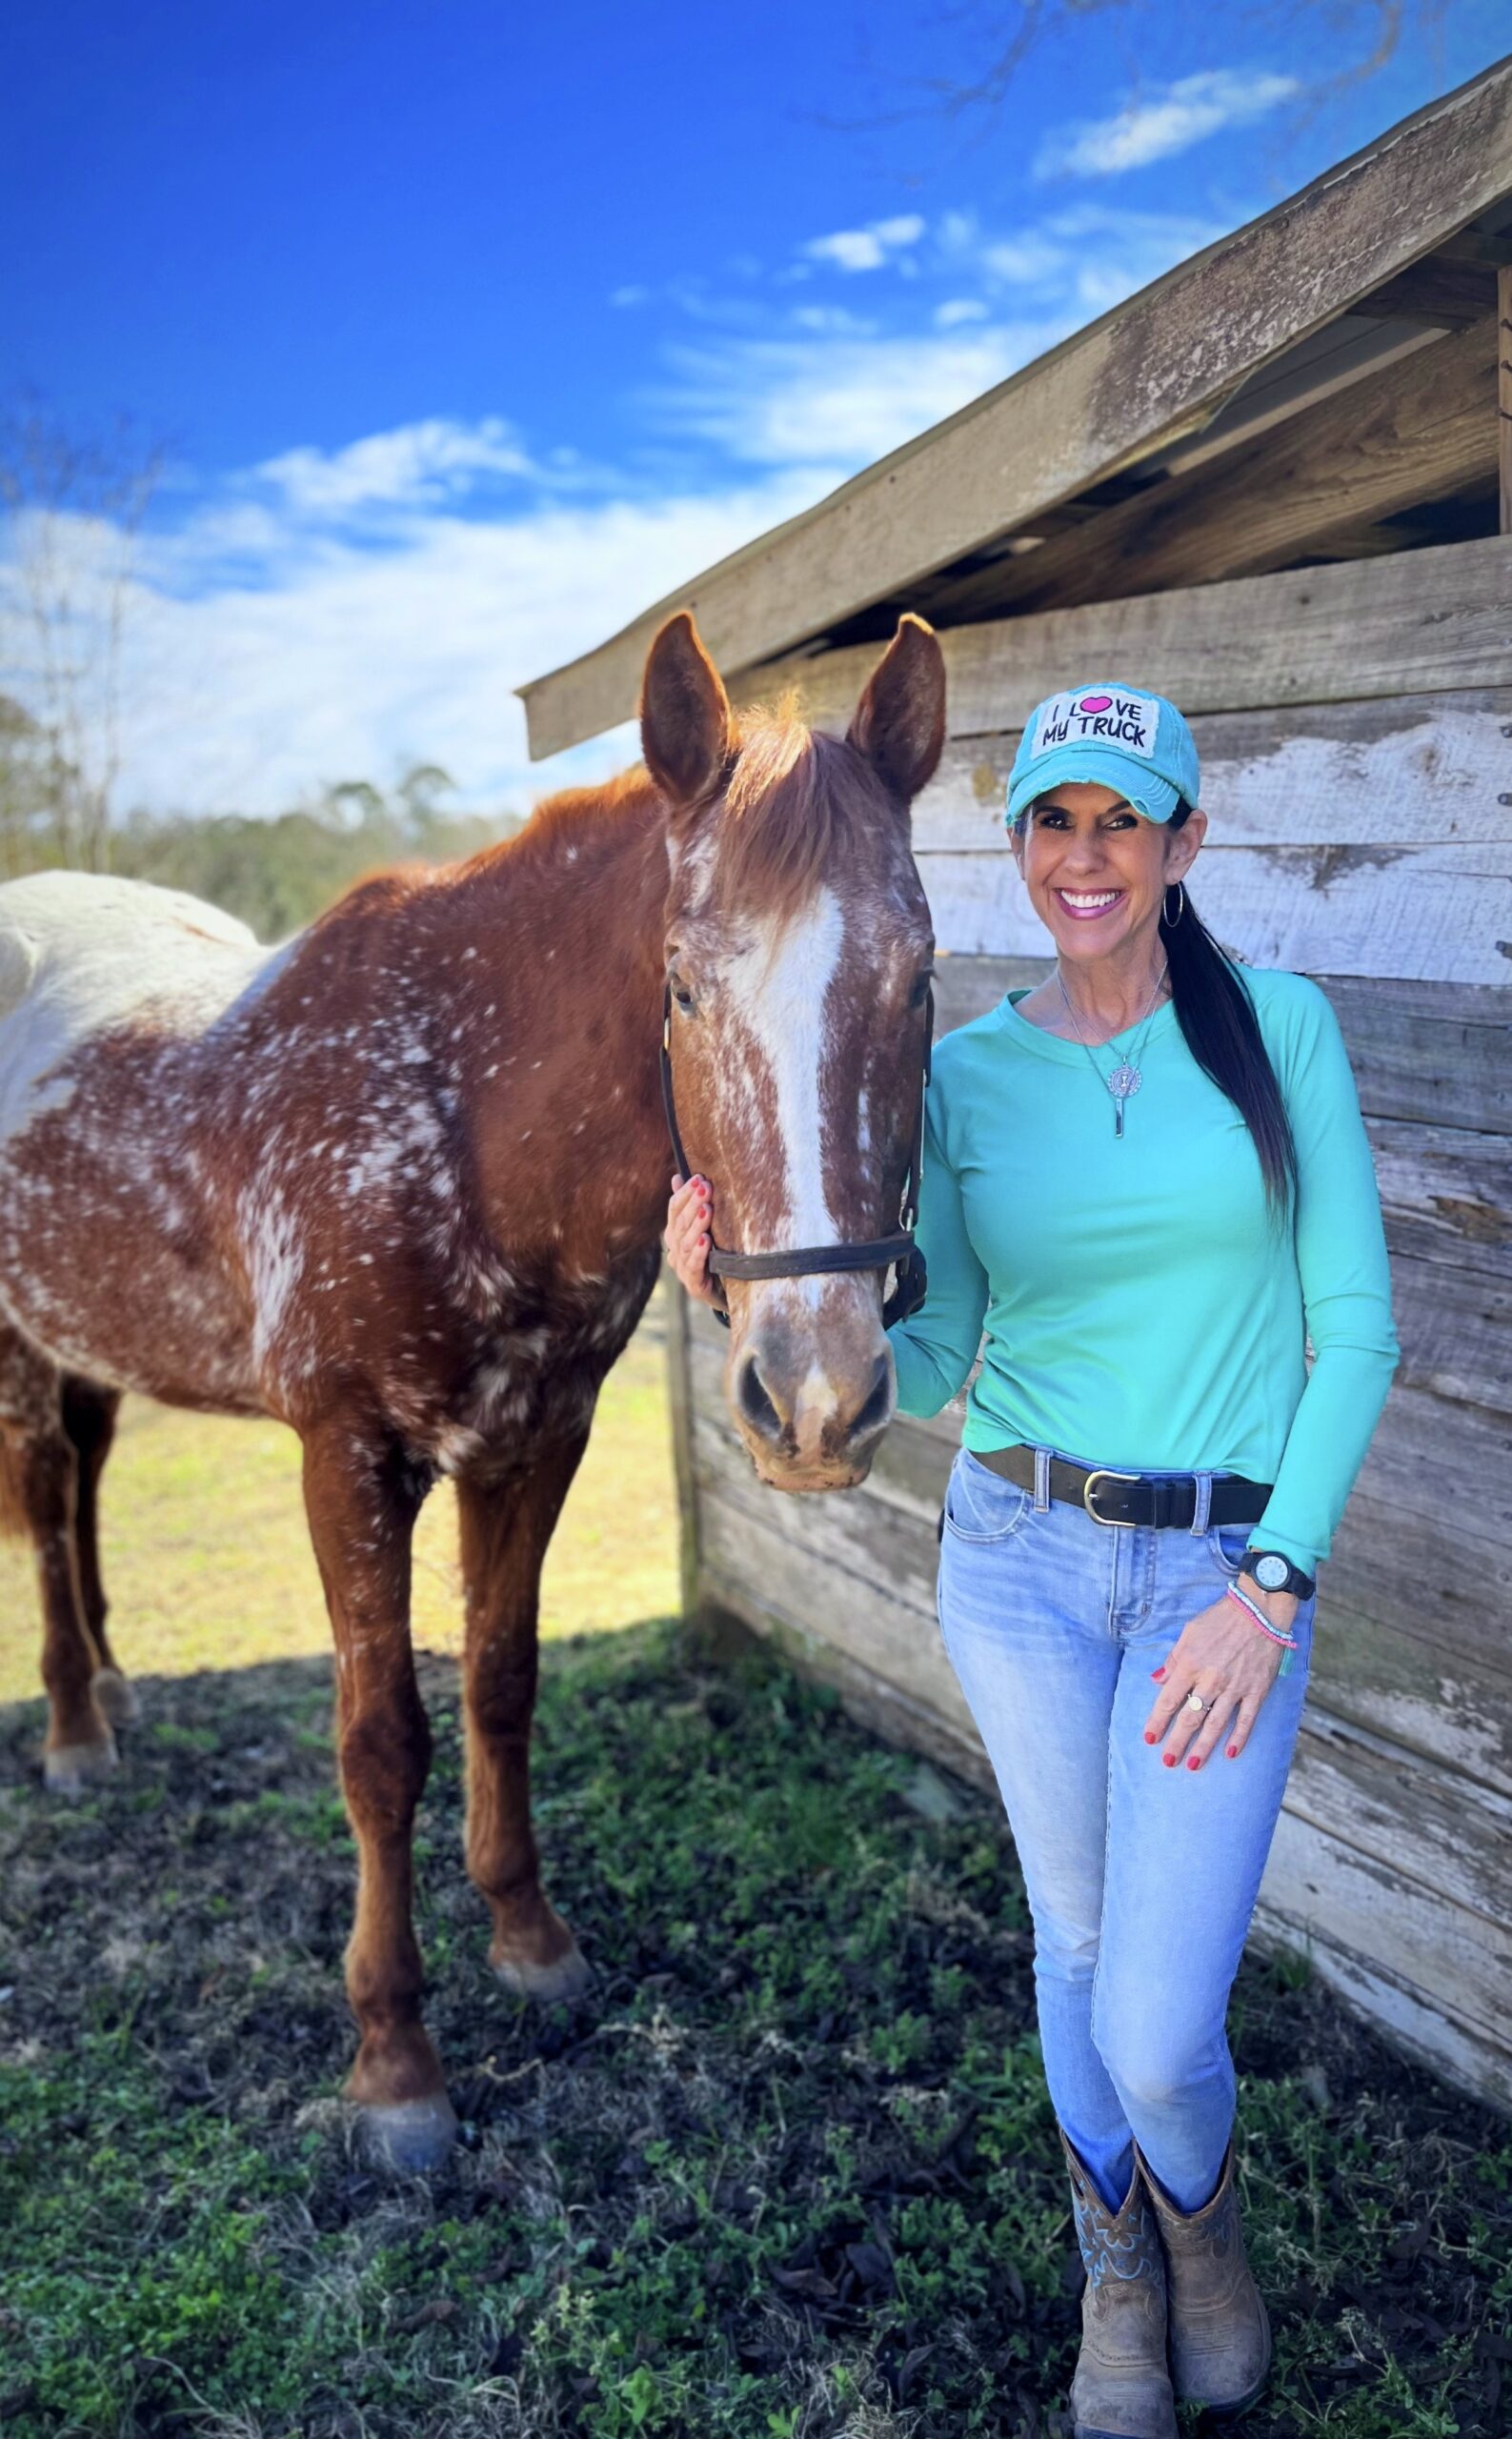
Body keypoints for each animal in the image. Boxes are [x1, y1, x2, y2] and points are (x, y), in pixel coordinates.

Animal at [0, 610, 946, 2175]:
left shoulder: (533, 1443)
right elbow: (381, 1744)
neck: (457, 1111)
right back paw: (77, 1730)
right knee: (39, 1488)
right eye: (680, 986)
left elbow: (503, 1684)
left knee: (78, 1487)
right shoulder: (349, 1457)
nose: (813, 1399)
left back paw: (117, 1689)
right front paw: (394, 2062)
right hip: (20, 1345)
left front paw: (529, 1940)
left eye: (920, 980)